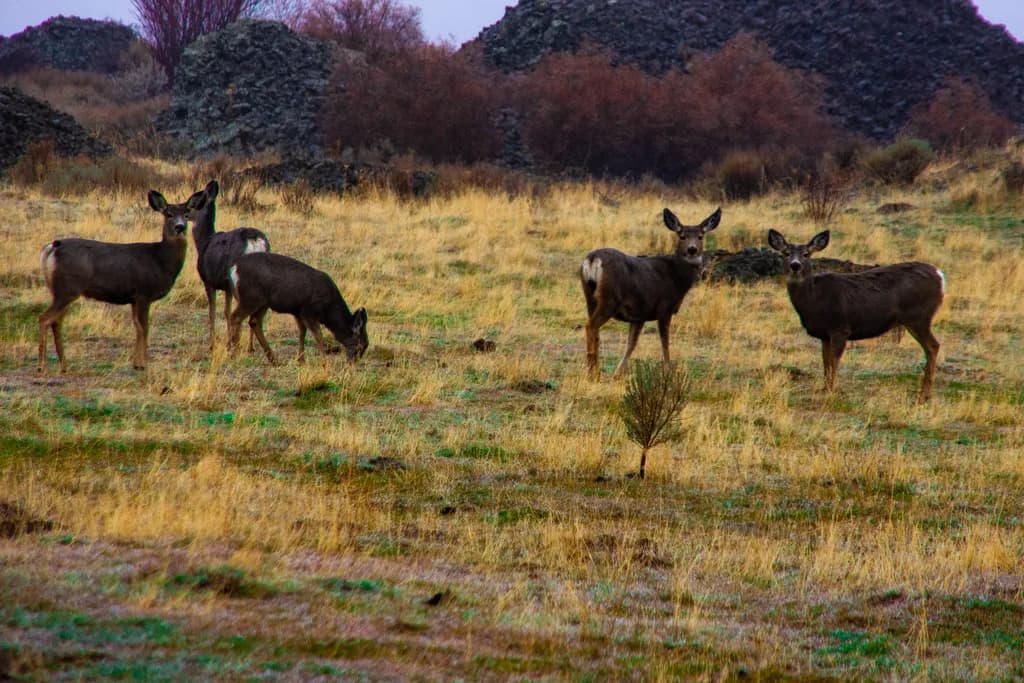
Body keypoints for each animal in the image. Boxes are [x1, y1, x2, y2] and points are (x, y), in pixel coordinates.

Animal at [38, 188, 205, 373]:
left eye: (187, 214)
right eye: (168, 214)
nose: (179, 227)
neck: (160, 260)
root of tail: (53, 246)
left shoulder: (133, 298)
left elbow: (137, 327)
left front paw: (136, 363)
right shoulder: (143, 293)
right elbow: (144, 328)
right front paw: (144, 364)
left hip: (61, 291)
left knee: (56, 322)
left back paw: (64, 365)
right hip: (66, 289)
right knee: (44, 318)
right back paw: (42, 366)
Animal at [189, 179, 271, 351]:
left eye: (194, 199)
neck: (203, 242)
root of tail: (254, 241)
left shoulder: (209, 281)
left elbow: (213, 311)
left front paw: (214, 344)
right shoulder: (226, 287)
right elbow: (226, 311)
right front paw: (227, 341)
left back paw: (238, 344)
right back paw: (249, 347)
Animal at [227, 252, 368, 365]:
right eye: (360, 345)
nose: (353, 363)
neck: (328, 310)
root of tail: (234, 268)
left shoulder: (298, 312)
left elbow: (302, 333)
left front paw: (301, 359)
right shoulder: (308, 311)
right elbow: (318, 335)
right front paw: (324, 361)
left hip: (263, 302)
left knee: (254, 322)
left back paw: (274, 359)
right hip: (251, 298)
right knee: (235, 317)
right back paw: (234, 353)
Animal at [580, 206, 721, 379]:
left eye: (701, 236)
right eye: (682, 236)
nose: (692, 249)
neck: (676, 278)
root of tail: (592, 259)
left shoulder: (639, 314)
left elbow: (631, 344)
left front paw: (618, 374)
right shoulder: (664, 307)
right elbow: (664, 341)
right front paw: (668, 371)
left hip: (589, 296)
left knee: (595, 329)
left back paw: (594, 370)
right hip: (609, 298)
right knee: (591, 326)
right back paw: (593, 374)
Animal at [767, 229, 945, 402]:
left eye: (806, 254)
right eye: (785, 253)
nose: (795, 265)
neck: (814, 300)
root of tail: (940, 276)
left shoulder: (841, 328)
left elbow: (834, 362)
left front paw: (831, 392)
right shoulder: (824, 334)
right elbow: (825, 363)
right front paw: (825, 389)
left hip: (918, 316)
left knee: (933, 346)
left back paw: (924, 395)